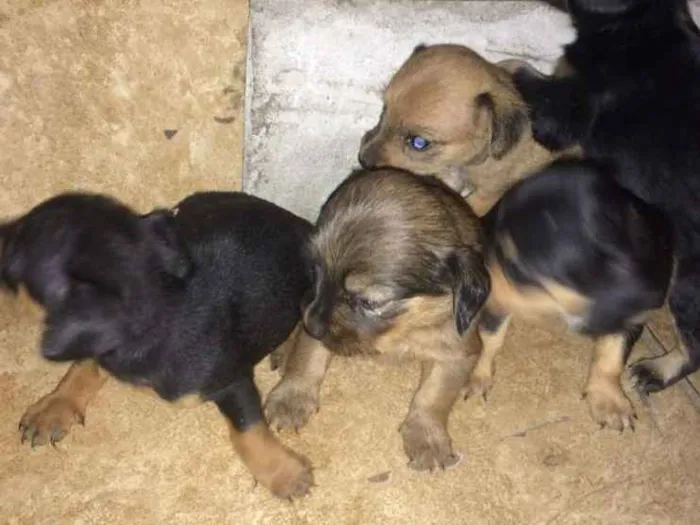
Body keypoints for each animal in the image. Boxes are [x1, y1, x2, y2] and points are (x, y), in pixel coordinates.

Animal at [2, 190, 314, 498]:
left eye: (15, 253)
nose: (3, 227)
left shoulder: (231, 381)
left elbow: (247, 430)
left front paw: (286, 474)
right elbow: (83, 367)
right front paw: (53, 408)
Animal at [470, 160, 672, 430]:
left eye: (519, 269)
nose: (477, 283)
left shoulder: (634, 310)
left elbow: (612, 355)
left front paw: (608, 401)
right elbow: (490, 339)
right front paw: (479, 377)